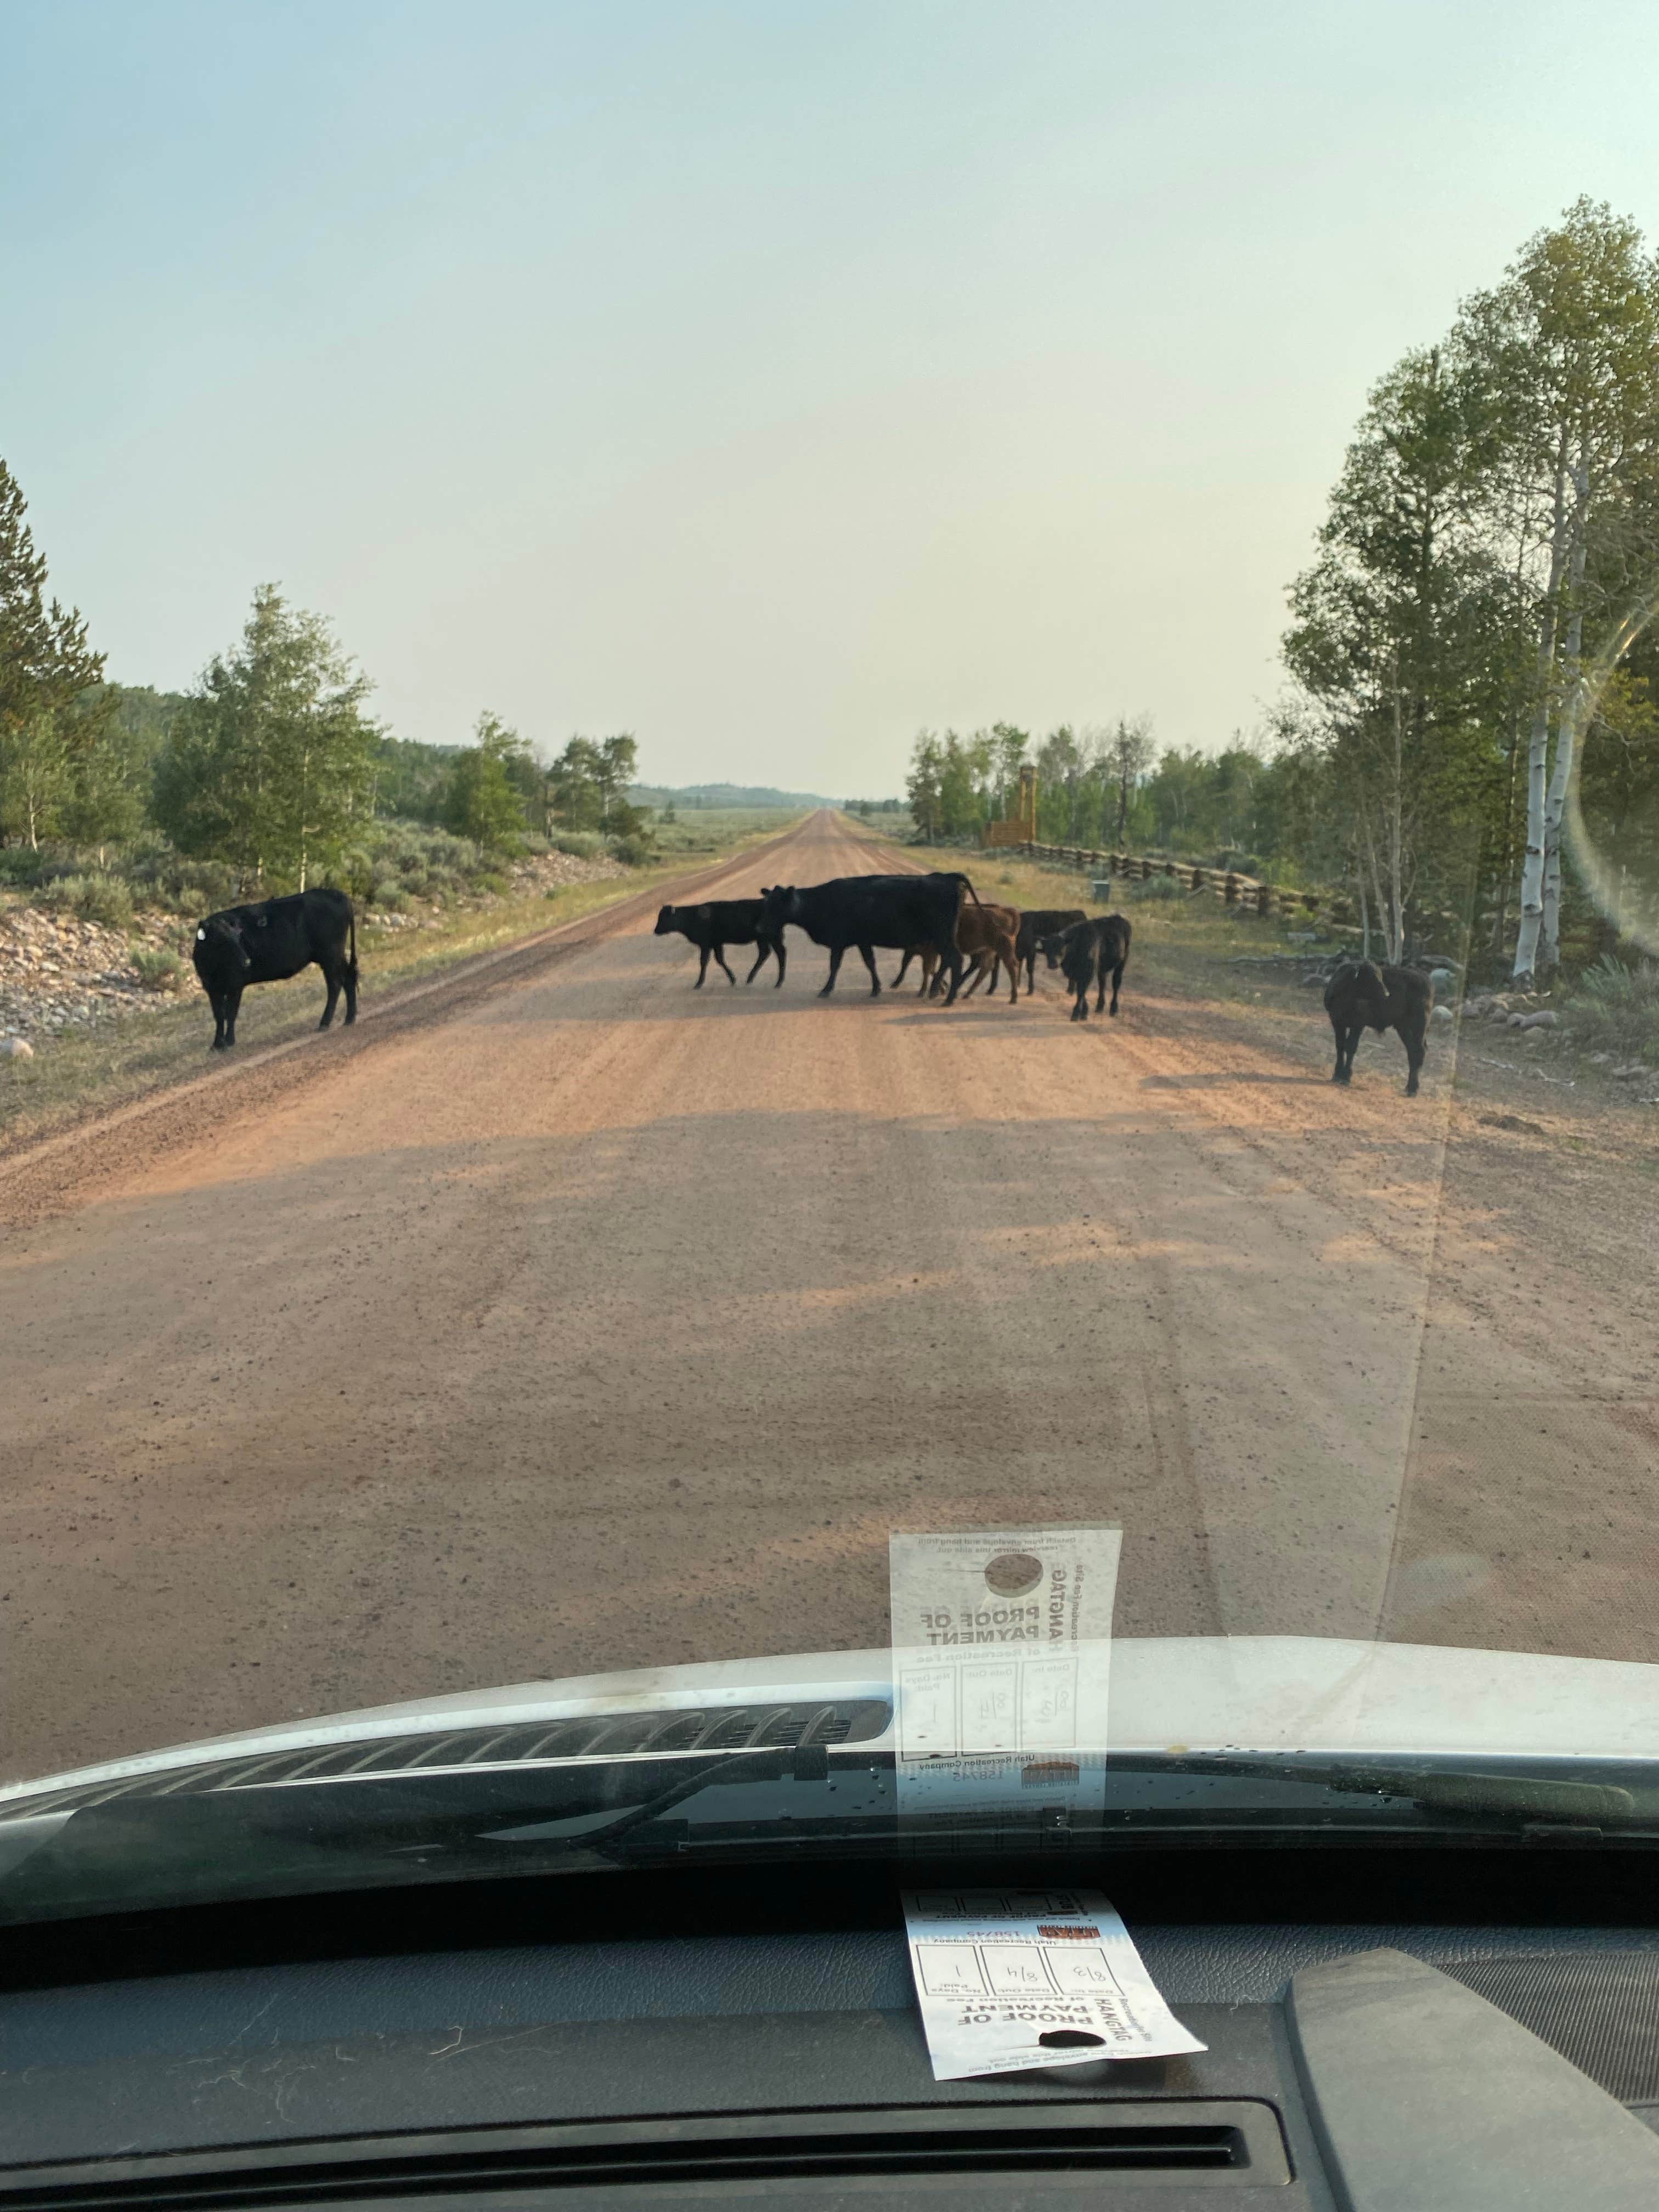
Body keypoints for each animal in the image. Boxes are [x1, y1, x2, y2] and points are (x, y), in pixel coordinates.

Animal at [196, 884, 363, 1048]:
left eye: (239, 937)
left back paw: (325, 1022)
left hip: (330, 955)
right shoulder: (211, 987)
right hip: (335, 956)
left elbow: (230, 1012)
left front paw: (229, 1041)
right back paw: (349, 1018)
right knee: (348, 978)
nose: (246, 961)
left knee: (335, 984)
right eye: (222, 940)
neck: (214, 967)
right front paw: (217, 1044)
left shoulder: (235, 984)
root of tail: (337, 893)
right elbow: (219, 1015)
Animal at [654, 893, 787, 991]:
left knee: (780, 953)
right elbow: (720, 960)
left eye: (663, 918)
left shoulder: (705, 944)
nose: (656, 930)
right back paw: (750, 978)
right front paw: (733, 979)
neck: (693, 916)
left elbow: (704, 962)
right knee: (765, 954)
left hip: (772, 938)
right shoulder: (716, 944)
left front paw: (698, 983)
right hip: (762, 939)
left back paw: (778, 982)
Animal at [761, 871, 982, 1004]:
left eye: (776, 905)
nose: (762, 926)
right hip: (941, 938)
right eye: (766, 903)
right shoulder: (863, 941)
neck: (822, 901)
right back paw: (937, 990)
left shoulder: (838, 943)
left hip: (943, 936)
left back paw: (948, 998)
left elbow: (834, 966)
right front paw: (876, 988)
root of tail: (946, 876)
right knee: (948, 960)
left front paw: (826, 990)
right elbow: (870, 962)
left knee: (955, 959)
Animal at [1035, 911, 1141, 1022]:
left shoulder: (1088, 972)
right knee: (1102, 983)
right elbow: (1081, 990)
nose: (1053, 964)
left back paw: (1114, 1009)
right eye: (1047, 950)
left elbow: (1082, 991)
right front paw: (1084, 1012)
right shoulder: (1075, 974)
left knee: (1116, 983)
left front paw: (1076, 1013)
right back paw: (1100, 1007)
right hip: (1102, 968)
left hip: (1122, 962)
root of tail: (1119, 918)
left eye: (1061, 949)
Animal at [1327, 964, 1433, 1101]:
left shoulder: (1358, 1025)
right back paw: (1409, 1087)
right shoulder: (1337, 1022)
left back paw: (1413, 1090)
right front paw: (1337, 1075)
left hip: (1419, 1025)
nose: (1387, 993)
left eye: (1381, 977)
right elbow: (1340, 1046)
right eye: (1371, 978)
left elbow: (1351, 1047)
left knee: (1420, 1051)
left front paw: (1346, 1077)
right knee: (1412, 1051)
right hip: (1403, 1027)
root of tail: (1424, 978)